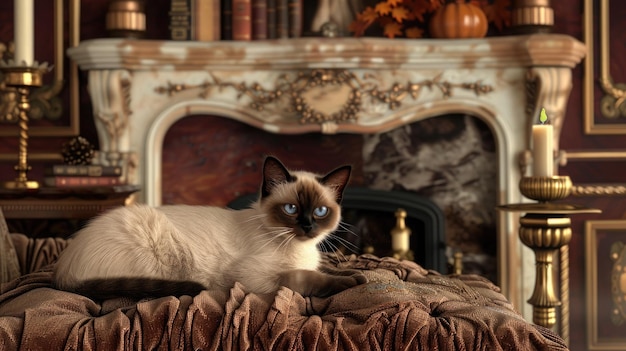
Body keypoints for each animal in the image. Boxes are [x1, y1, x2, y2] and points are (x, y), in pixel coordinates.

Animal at [54, 157, 366, 300]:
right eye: (290, 209)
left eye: (320, 211)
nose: (308, 226)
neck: (299, 248)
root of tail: (61, 272)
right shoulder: (255, 278)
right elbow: (306, 278)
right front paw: (350, 283)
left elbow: (329, 270)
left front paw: (357, 275)